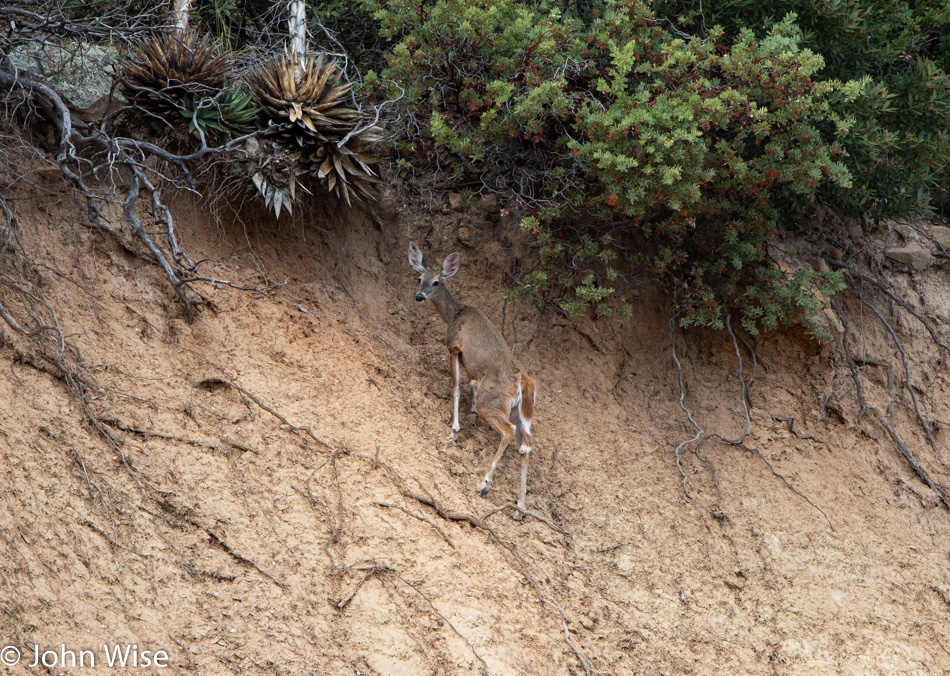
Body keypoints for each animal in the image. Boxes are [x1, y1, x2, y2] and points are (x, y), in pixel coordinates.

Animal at [408, 242, 536, 516]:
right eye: (419, 278)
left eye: (436, 281)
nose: (419, 296)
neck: (454, 314)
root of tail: (521, 381)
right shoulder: (473, 368)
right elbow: (469, 383)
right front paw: (471, 409)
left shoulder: (455, 346)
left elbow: (456, 386)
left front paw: (455, 429)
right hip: (517, 412)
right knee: (525, 446)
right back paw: (519, 507)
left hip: (495, 404)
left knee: (508, 432)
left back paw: (485, 484)